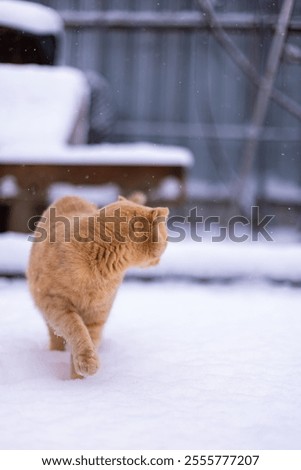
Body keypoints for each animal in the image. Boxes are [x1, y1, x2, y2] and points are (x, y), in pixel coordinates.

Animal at [26, 193, 168, 380]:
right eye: (166, 240)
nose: (161, 258)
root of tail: (70, 194)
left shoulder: (97, 313)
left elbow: (90, 339)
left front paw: (78, 379)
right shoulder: (57, 304)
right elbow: (77, 330)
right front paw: (84, 367)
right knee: (55, 336)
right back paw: (54, 353)